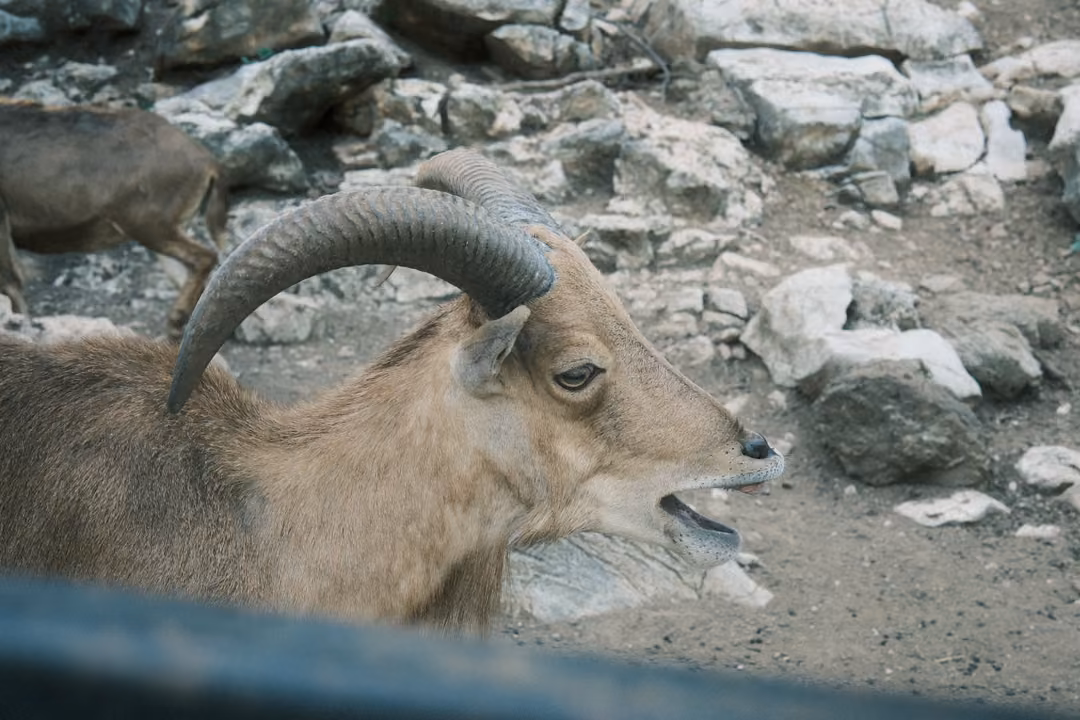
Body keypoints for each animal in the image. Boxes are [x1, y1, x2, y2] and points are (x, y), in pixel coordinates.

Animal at [0, 99, 229, 339]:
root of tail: (208, 162)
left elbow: (10, 280)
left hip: (148, 225)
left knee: (205, 256)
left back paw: (175, 321)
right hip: (170, 227)